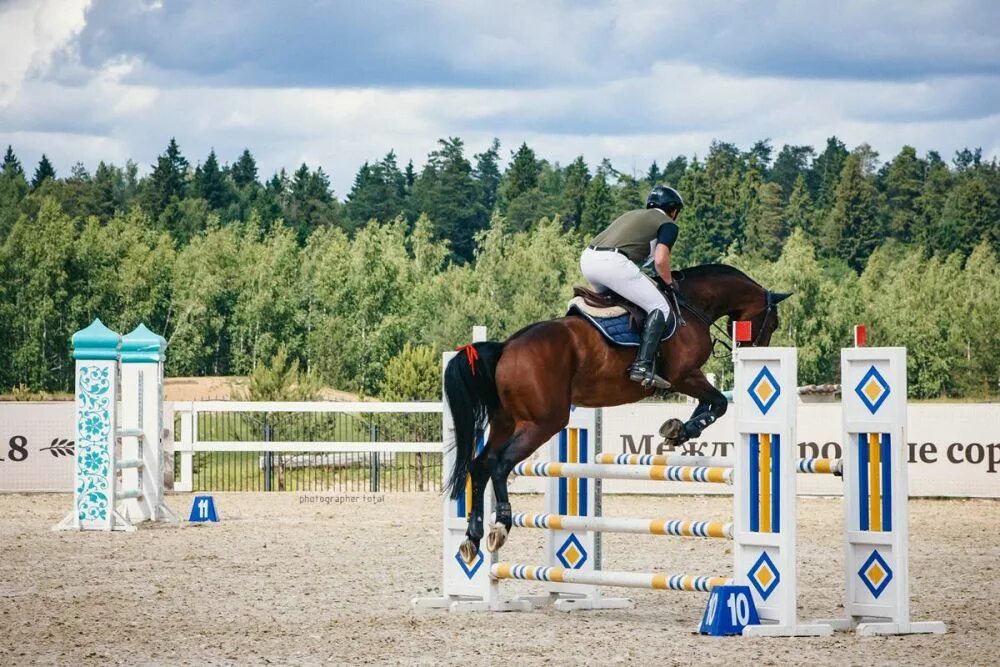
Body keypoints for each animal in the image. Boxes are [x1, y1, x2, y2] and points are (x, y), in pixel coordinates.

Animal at [446, 264, 788, 560]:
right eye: (773, 323)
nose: (755, 352)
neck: (691, 305)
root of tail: (505, 348)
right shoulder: (685, 375)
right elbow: (718, 403)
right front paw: (683, 430)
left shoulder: (689, 379)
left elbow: (710, 404)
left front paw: (676, 429)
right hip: (543, 422)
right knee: (499, 464)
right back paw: (500, 526)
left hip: (505, 422)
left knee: (479, 465)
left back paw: (471, 537)